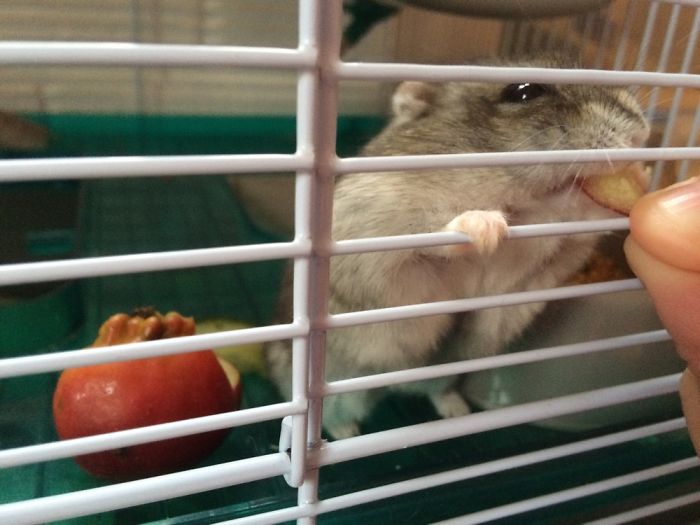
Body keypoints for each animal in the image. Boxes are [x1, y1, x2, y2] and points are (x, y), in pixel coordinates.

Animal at [265, 54, 650, 439]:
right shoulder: (376, 250)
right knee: (333, 418)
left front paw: (640, 176)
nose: (641, 133)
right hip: (338, 390)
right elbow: (433, 237)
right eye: (523, 91)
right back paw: (345, 435)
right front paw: (487, 226)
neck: (522, 206)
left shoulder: (519, 288)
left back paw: (457, 412)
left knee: (436, 392)